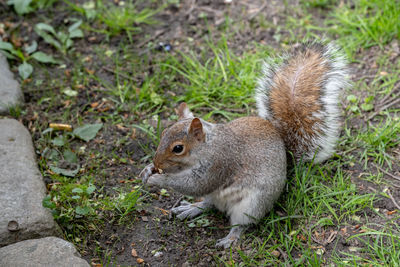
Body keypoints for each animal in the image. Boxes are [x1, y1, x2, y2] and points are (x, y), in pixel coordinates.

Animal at [139, 41, 348, 249]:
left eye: (178, 148)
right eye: (163, 133)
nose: (157, 163)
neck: (207, 146)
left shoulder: (219, 164)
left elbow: (195, 185)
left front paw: (158, 179)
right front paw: (148, 170)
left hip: (252, 205)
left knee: (240, 223)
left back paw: (230, 238)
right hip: (217, 196)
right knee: (208, 203)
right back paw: (192, 208)